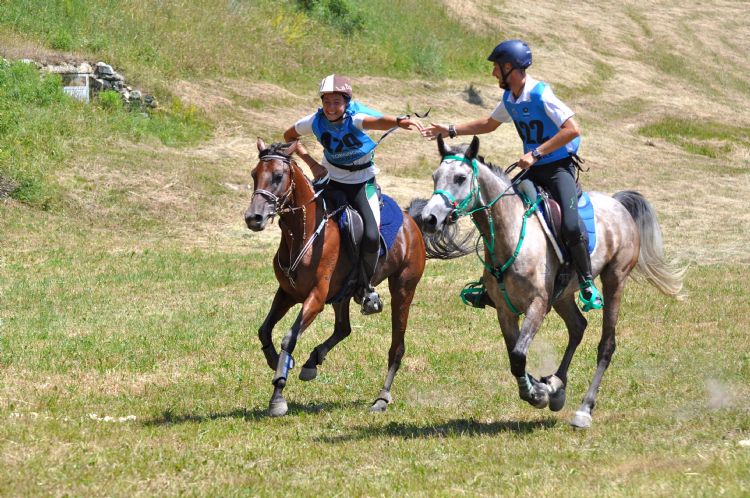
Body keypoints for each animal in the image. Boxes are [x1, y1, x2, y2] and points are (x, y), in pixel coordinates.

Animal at [247, 139, 468, 416]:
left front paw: (278, 393)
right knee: (344, 328)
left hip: (403, 289)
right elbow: (265, 330)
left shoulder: (315, 298)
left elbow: (289, 337)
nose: (253, 218)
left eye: (278, 176)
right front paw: (278, 362)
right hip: (342, 294)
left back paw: (382, 397)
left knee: (397, 347)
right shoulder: (287, 292)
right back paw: (312, 361)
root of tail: (411, 221)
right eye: (254, 174)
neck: (303, 233)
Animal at [424, 136, 688, 428]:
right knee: (578, 327)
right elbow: (515, 357)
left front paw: (536, 393)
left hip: (614, 280)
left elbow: (519, 355)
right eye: (435, 176)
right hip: (562, 295)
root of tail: (618, 203)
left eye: (460, 178)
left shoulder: (538, 305)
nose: (429, 218)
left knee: (606, 344)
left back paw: (584, 409)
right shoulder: (505, 310)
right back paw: (557, 386)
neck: (510, 233)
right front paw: (542, 388)